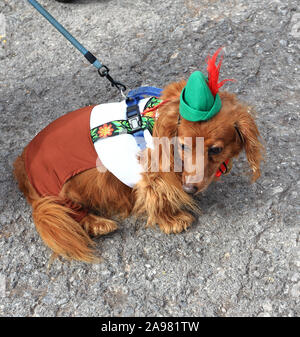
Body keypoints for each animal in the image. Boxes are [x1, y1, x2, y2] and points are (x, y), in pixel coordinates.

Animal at [13, 53, 262, 262]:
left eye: (216, 150)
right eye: (183, 145)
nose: (190, 188)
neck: (158, 119)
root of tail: (22, 164)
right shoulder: (153, 174)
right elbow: (159, 196)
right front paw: (173, 220)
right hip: (62, 190)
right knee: (71, 212)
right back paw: (99, 223)